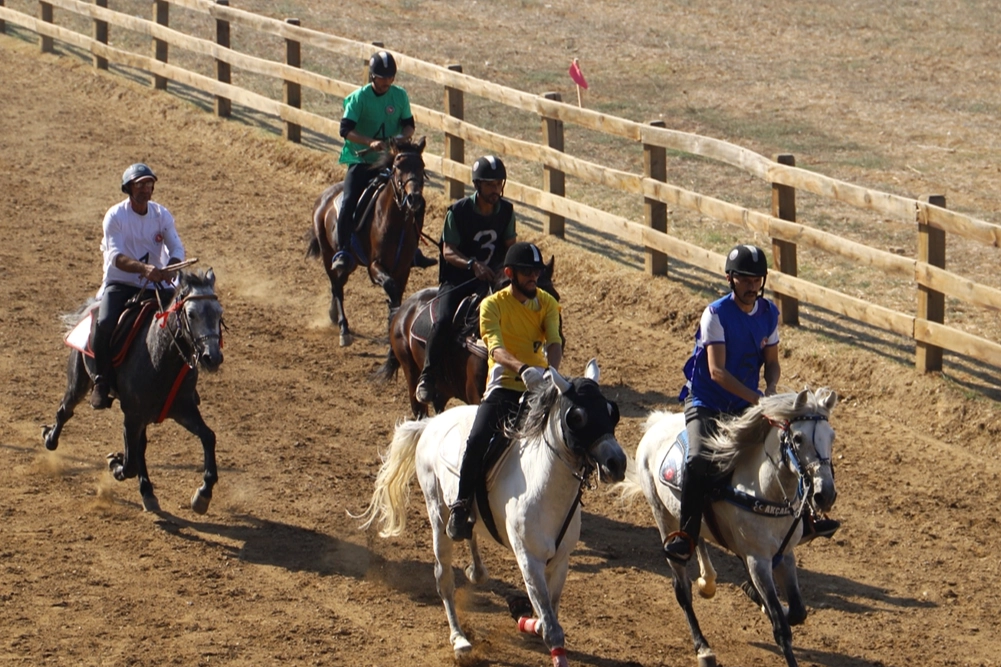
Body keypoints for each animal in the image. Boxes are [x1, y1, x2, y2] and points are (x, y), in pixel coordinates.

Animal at [42, 268, 225, 510]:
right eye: (192, 314)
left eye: (219, 312)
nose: (212, 357)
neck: (159, 357)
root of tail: (91, 309)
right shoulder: (132, 416)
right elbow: (129, 464)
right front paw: (116, 463)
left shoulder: (183, 409)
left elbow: (208, 436)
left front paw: (203, 494)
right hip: (78, 382)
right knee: (64, 411)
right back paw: (49, 438)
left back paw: (148, 492)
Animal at [308, 134, 426, 342]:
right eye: (398, 167)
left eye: (422, 166)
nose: (414, 198)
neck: (397, 223)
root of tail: (323, 197)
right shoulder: (375, 266)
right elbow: (391, 288)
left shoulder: (403, 269)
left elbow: (398, 293)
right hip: (327, 253)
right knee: (337, 286)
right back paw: (344, 329)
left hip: (352, 261)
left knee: (339, 282)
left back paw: (333, 315)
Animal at [356, 360, 624, 660]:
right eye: (576, 417)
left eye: (612, 413)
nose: (617, 463)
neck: (544, 485)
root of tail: (432, 423)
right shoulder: (528, 559)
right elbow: (552, 628)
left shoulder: (561, 561)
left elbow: (550, 614)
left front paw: (527, 619)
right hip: (437, 514)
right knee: (443, 578)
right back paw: (459, 638)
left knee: (468, 532)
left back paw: (477, 570)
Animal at [616, 386, 836, 664]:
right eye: (797, 439)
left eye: (832, 437)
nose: (825, 495)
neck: (765, 490)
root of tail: (658, 423)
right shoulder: (757, 560)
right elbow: (781, 627)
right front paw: (764, 604)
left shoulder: (786, 554)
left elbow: (797, 611)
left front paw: (758, 596)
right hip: (662, 515)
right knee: (682, 587)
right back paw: (703, 648)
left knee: (695, 535)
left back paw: (709, 581)